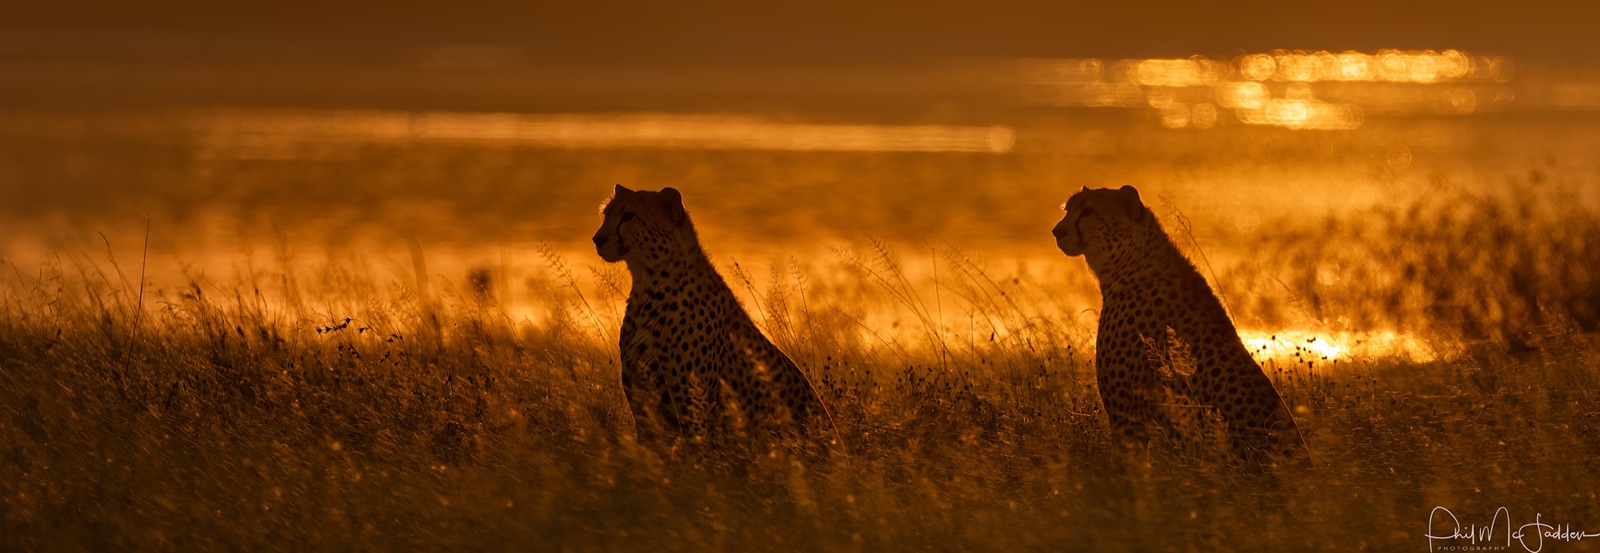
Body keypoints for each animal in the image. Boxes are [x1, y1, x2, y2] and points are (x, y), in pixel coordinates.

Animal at [593, 184, 830, 456]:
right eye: (606, 214)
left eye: (629, 216)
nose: (597, 239)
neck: (649, 283)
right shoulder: (645, 410)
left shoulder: (694, 412)